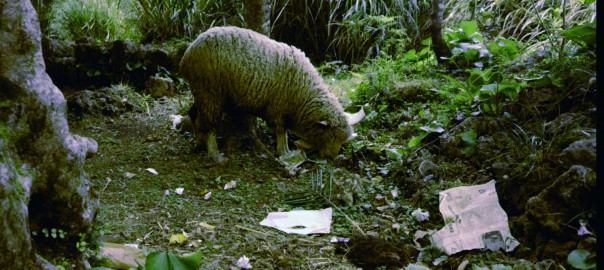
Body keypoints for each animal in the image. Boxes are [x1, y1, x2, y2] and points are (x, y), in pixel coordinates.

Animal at [177, 26, 360, 162]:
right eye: (331, 136)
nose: (331, 157)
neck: (304, 93)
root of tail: (187, 55)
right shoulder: (278, 107)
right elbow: (281, 130)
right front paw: (283, 152)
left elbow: (283, 131)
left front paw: (287, 150)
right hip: (211, 92)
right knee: (207, 122)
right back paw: (215, 154)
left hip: (202, 92)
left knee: (193, 114)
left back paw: (199, 142)